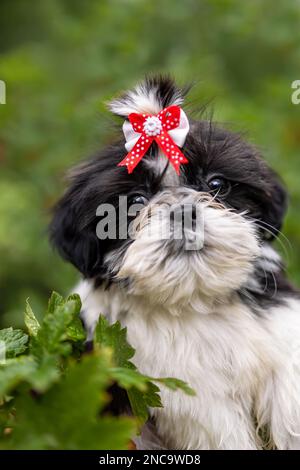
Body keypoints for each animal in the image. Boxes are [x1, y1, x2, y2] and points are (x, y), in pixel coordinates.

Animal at [50, 75, 300, 450]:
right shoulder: (188, 396)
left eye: (216, 183)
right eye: (136, 201)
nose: (183, 210)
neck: (196, 296)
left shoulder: (282, 336)